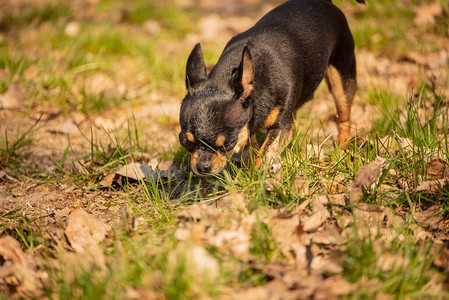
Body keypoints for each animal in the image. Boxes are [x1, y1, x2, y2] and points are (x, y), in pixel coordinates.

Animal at [177, 0, 362, 176]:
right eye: (186, 142)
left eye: (228, 144)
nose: (202, 167)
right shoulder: (252, 125)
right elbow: (252, 146)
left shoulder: (280, 125)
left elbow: (266, 150)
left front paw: (258, 177)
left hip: (342, 76)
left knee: (343, 116)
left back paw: (342, 149)